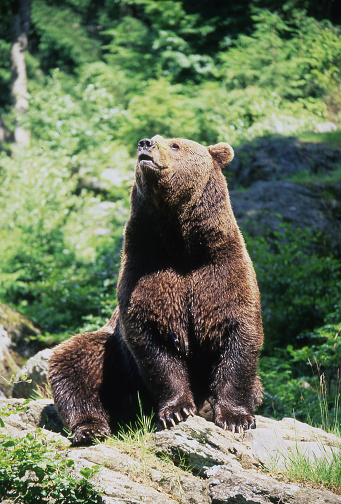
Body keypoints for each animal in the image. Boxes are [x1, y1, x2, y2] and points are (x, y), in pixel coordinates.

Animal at [47, 135, 262, 444]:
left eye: (175, 145)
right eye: (158, 139)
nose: (145, 143)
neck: (181, 246)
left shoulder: (221, 270)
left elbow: (237, 333)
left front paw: (236, 418)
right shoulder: (146, 270)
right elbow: (153, 340)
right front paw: (177, 409)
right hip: (112, 358)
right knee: (73, 362)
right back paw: (90, 428)